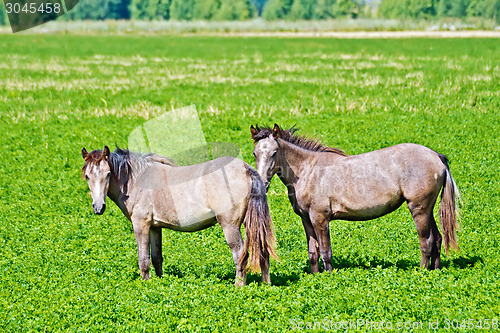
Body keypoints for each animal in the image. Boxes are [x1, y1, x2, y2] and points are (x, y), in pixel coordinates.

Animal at [80, 146, 280, 286]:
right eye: (87, 176)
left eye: (107, 174)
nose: (98, 207)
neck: (135, 180)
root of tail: (246, 168)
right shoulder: (155, 227)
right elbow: (157, 258)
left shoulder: (141, 225)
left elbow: (144, 260)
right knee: (262, 251)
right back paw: (266, 285)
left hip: (230, 226)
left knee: (240, 256)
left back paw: (239, 286)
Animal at [252, 123, 458, 272]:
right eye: (255, 153)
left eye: (274, 153)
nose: (261, 183)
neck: (307, 171)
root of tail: (437, 157)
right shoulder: (307, 220)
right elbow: (313, 252)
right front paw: (315, 276)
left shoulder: (320, 219)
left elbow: (326, 251)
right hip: (427, 209)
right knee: (437, 238)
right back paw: (435, 270)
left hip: (419, 209)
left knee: (426, 241)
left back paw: (422, 272)